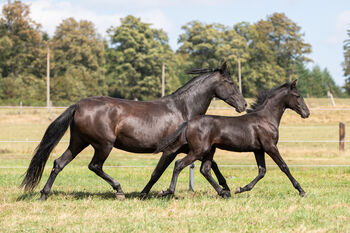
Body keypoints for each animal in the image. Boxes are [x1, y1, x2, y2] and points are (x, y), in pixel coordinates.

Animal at [20, 62, 247, 200]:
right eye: (230, 82)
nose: (243, 105)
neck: (183, 109)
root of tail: (78, 105)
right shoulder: (171, 150)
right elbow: (157, 173)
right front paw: (145, 193)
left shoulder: (192, 148)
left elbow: (212, 165)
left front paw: (226, 188)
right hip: (103, 145)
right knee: (95, 166)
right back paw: (119, 190)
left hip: (78, 143)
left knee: (59, 163)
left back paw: (44, 193)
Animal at [153, 80, 308, 198]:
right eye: (297, 95)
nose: (307, 113)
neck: (266, 118)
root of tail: (189, 123)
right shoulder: (270, 146)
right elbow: (284, 167)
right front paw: (301, 191)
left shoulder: (259, 150)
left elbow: (262, 171)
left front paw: (241, 189)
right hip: (199, 151)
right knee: (179, 164)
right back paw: (167, 191)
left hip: (209, 150)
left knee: (205, 169)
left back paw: (224, 192)